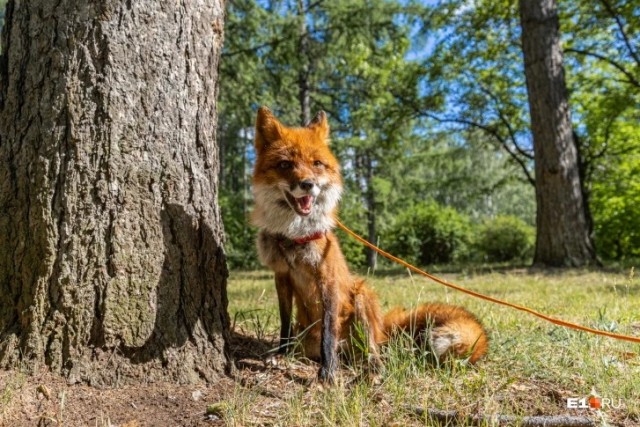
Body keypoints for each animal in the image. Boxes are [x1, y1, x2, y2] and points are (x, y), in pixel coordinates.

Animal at [252, 108, 488, 384]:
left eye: (317, 164)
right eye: (285, 165)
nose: (308, 184)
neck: (296, 237)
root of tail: (381, 329)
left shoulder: (327, 278)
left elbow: (328, 333)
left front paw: (328, 372)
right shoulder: (281, 275)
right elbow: (284, 323)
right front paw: (281, 353)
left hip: (363, 295)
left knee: (372, 351)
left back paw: (372, 369)